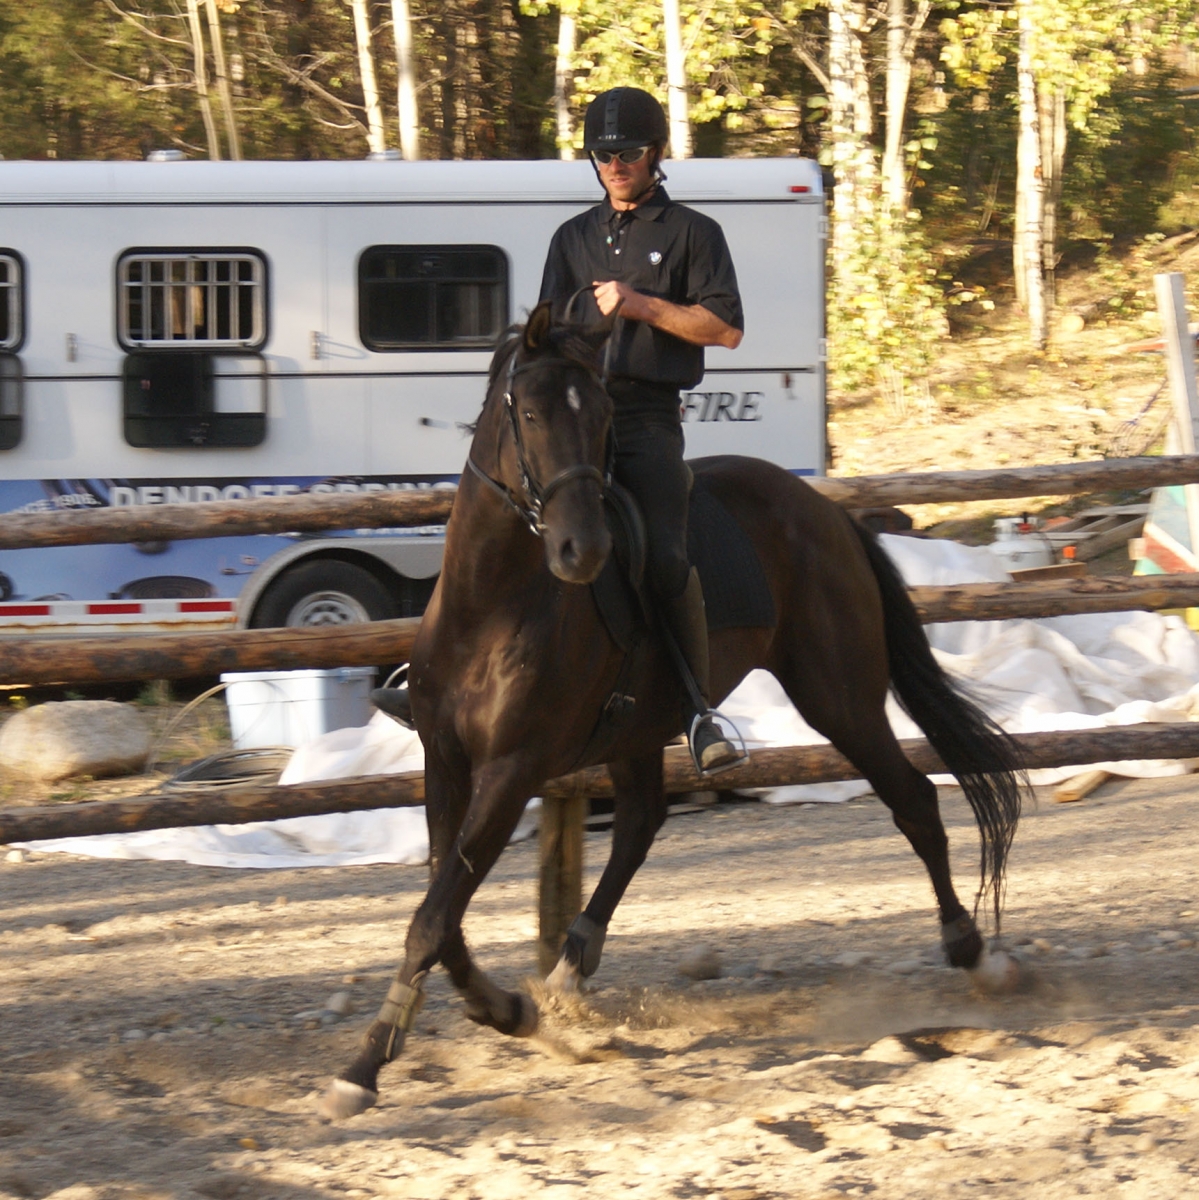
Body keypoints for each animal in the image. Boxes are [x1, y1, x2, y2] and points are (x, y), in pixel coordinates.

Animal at [318, 302, 1023, 1120]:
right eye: (528, 413)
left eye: (599, 417)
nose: (582, 550)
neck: (489, 605)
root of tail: (825, 510)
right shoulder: (447, 761)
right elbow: (445, 910)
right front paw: (508, 1013)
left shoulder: (511, 771)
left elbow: (434, 916)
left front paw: (362, 1067)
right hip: (640, 730)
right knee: (640, 823)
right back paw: (566, 971)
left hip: (838, 698)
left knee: (911, 800)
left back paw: (973, 954)